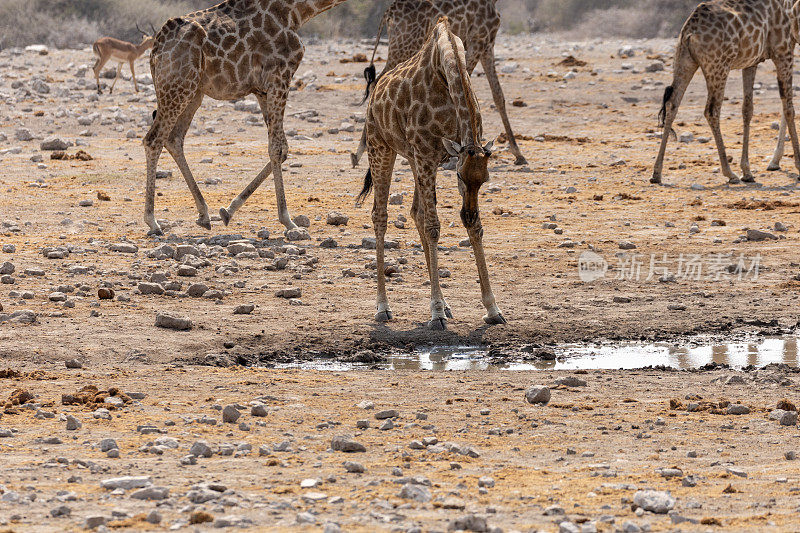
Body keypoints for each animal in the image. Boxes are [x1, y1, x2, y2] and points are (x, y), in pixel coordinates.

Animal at [141, 0, 354, 235]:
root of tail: (156, 47)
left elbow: (283, 148)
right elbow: (277, 149)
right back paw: (153, 221)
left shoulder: (262, 89)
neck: (297, 12)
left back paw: (204, 214)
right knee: (154, 139)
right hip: (179, 86)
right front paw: (288, 220)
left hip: (193, 92)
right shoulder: (280, 77)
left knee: (174, 138)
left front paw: (228, 210)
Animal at [348, 0, 524, 168]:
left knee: (377, 81)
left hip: (400, 45)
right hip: (404, 45)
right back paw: (360, 152)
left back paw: (360, 152)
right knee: (378, 81)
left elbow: (498, 95)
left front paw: (519, 154)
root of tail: (389, 12)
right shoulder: (478, 40)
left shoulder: (487, 44)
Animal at [358, 15, 504, 328]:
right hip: (381, 146)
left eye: (485, 180)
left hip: (414, 159)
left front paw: (492, 309)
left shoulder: (447, 155)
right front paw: (435, 312)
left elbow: (472, 226)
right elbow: (434, 226)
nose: (467, 214)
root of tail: (375, 93)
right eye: (459, 177)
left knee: (416, 211)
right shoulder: (428, 154)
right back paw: (383, 307)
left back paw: (446, 305)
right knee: (380, 215)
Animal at [652, 0, 800, 185]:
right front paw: (797, 165)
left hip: (684, 61)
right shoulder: (783, 50)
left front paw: (748, 171)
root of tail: (690, 32)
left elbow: (747, 110)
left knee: (672, 104)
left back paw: (656, 173)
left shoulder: (752, 62)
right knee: (711, 110)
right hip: (719, 67)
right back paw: (729, 173)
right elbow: (788, 108)